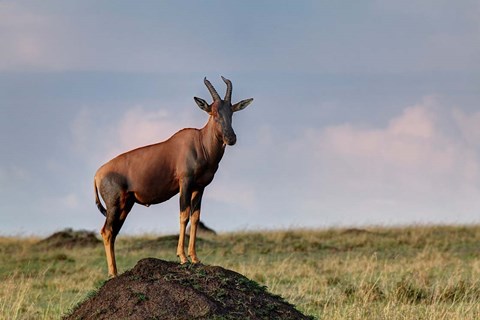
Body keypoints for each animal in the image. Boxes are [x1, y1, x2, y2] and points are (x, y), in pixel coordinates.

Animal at [92, 76, 253, 276]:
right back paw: (113, 274)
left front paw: (195, 258)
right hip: (115, 205)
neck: (199, 143)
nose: (231, 139)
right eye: (214, 113)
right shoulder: (185, 183)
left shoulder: (199, 188)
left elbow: (195, 218)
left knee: (113, 232)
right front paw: (182, 257)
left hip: (126, 205)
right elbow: (183, 215)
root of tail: (97, 174)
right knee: (106, 231)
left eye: (231, 112)